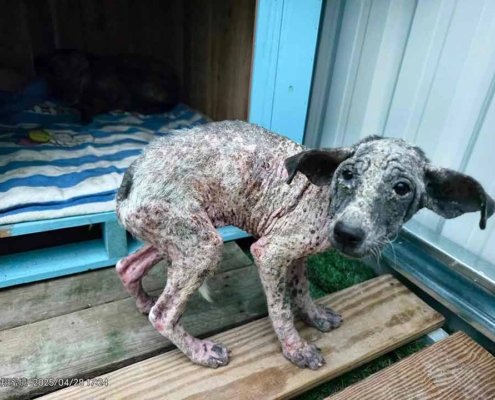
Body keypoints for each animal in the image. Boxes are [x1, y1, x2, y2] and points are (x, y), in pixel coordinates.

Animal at [116, 120, 494, 370]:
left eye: (402, 188)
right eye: (347, 175)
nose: (346, 233)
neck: (326, 198)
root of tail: (133, 172)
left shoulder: (295, 255)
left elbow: (301, 291)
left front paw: (314, 317)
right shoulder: (269, 253)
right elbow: (281, 309)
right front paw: (296, 349)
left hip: (178, 234)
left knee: (127, 266)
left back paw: (142, 301)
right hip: (202, 245)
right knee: (163, 315)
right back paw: (199, 351)